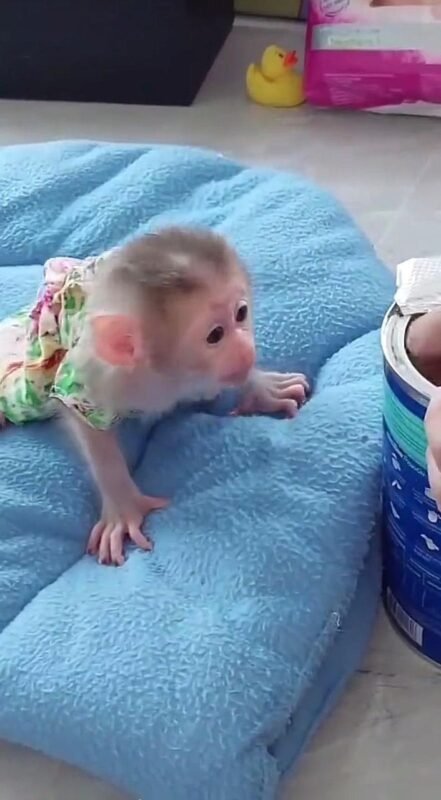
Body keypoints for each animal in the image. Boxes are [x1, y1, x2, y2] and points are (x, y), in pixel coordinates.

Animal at [0, 227, 309, 566]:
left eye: (241, 313)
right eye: (215, 335)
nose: (245, 350)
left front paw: (260, 387)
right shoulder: (96, 373)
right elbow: (85, 423)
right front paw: (122, 503)